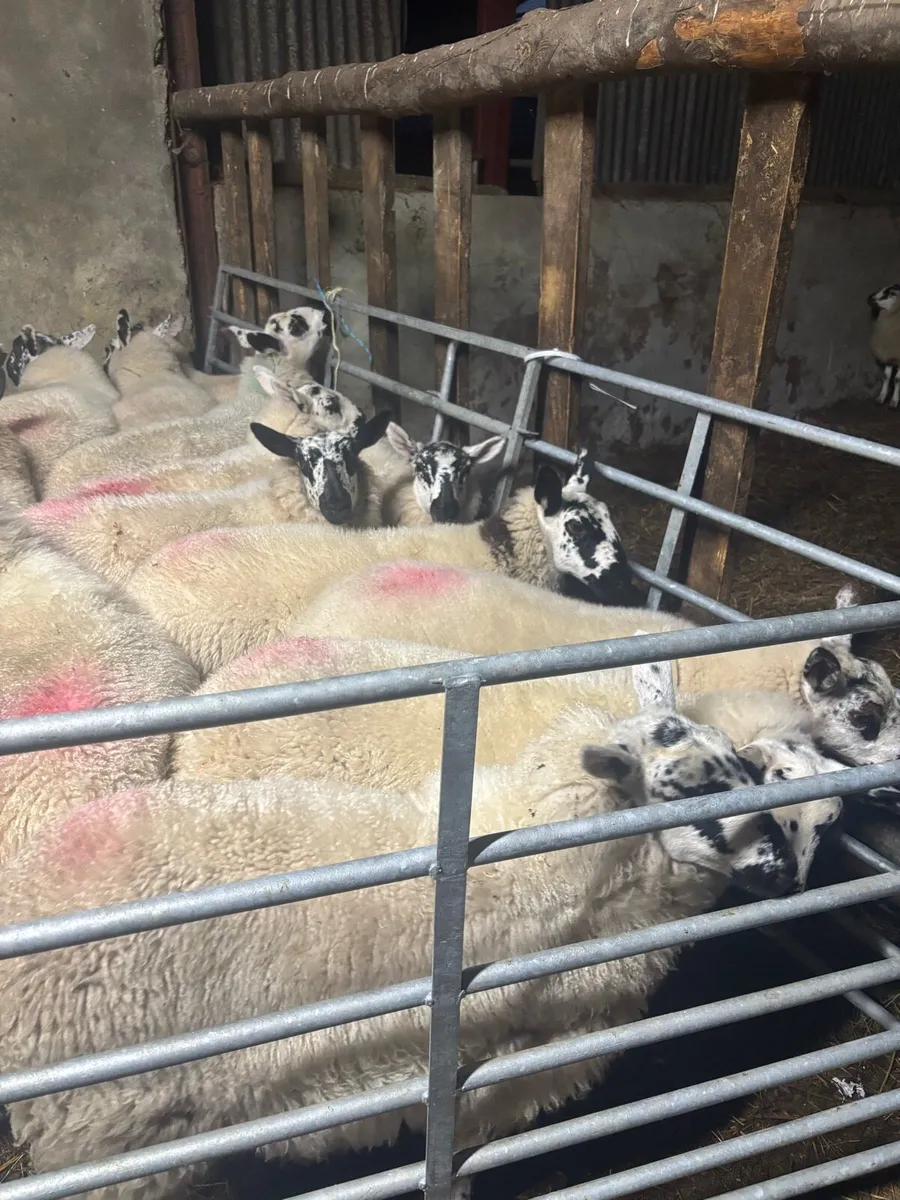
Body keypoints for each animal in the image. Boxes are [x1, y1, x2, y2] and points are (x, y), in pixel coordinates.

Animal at [0, 668, 839, 1200]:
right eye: (693, 787)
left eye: (742, 764)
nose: (790, 874)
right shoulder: (486, 1076)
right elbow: (462, 1166)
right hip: (111, 1132)